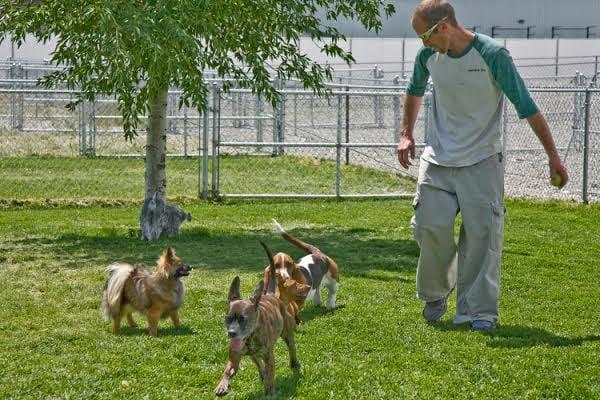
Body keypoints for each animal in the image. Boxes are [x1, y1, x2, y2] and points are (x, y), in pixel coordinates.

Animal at [214, 241, 300, 396]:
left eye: (243, 319)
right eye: (228, 318)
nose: (231, 333)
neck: (249, 338)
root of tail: (271, 295)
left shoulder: (269, 356)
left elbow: (270, 378)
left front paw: (269, 393)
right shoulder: (234, 357)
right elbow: (227, 371)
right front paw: (222, 385)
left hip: (287, 334)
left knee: (292, 348)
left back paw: (294, 363)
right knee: (256, 359)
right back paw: (261, 372)